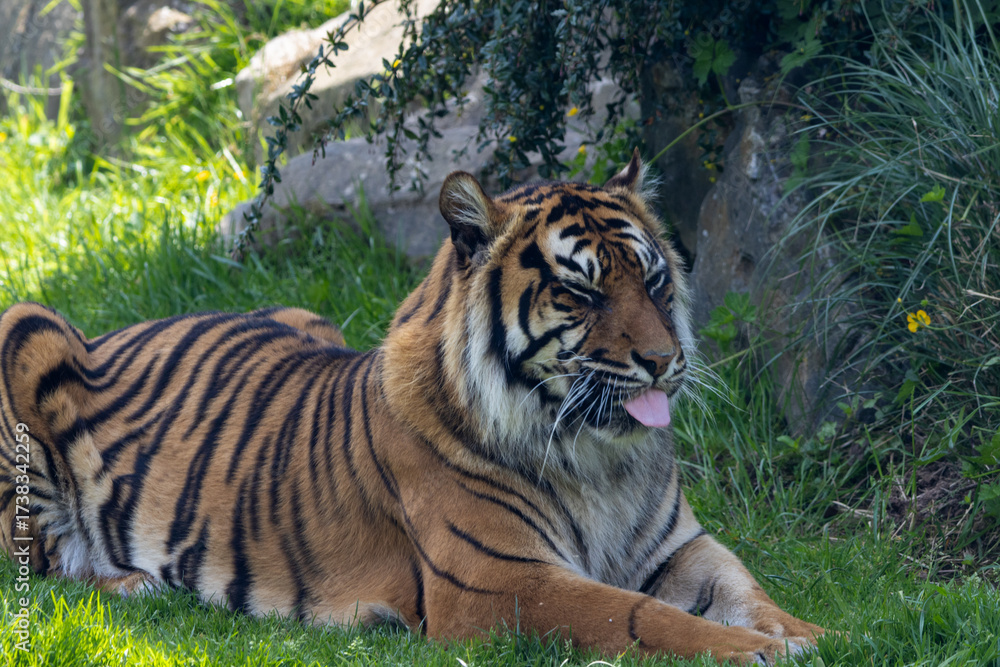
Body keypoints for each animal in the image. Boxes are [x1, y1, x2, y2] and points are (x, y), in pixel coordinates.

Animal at [0, 151, 826, 664]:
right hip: (25, 324)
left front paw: (810, 633)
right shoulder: (503, 582)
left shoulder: (677, 547)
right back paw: (133, 582)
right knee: (43, 564)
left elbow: (746, 588)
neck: (596, 456)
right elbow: (638, 616)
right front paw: (760, 649)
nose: (664, 360)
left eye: (654, 281)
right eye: (582, 291)